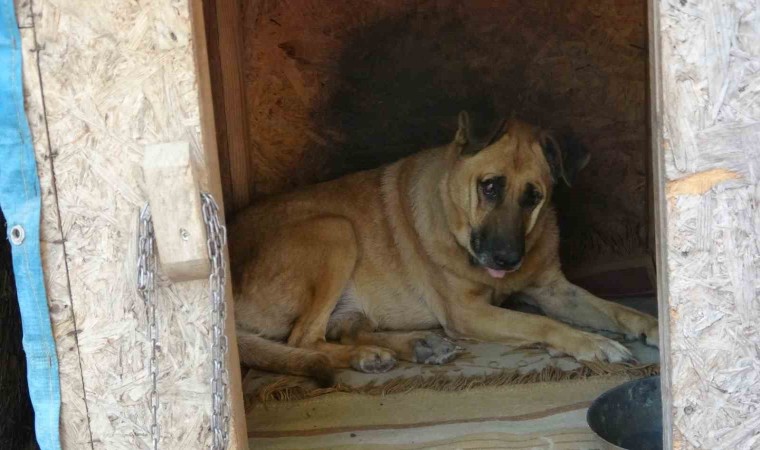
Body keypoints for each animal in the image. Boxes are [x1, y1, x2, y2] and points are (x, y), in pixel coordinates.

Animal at [230, 112, 659, 386]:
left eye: (534, 196)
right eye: (490, 186)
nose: (507, 260)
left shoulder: (555, 292)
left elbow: (617, 310)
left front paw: (654, 325)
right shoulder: (469, 313)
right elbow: (542, 324)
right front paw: (592, 343)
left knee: (342, 330)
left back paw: (413, 345)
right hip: (336, 230)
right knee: (302, 340)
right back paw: (367, 356)